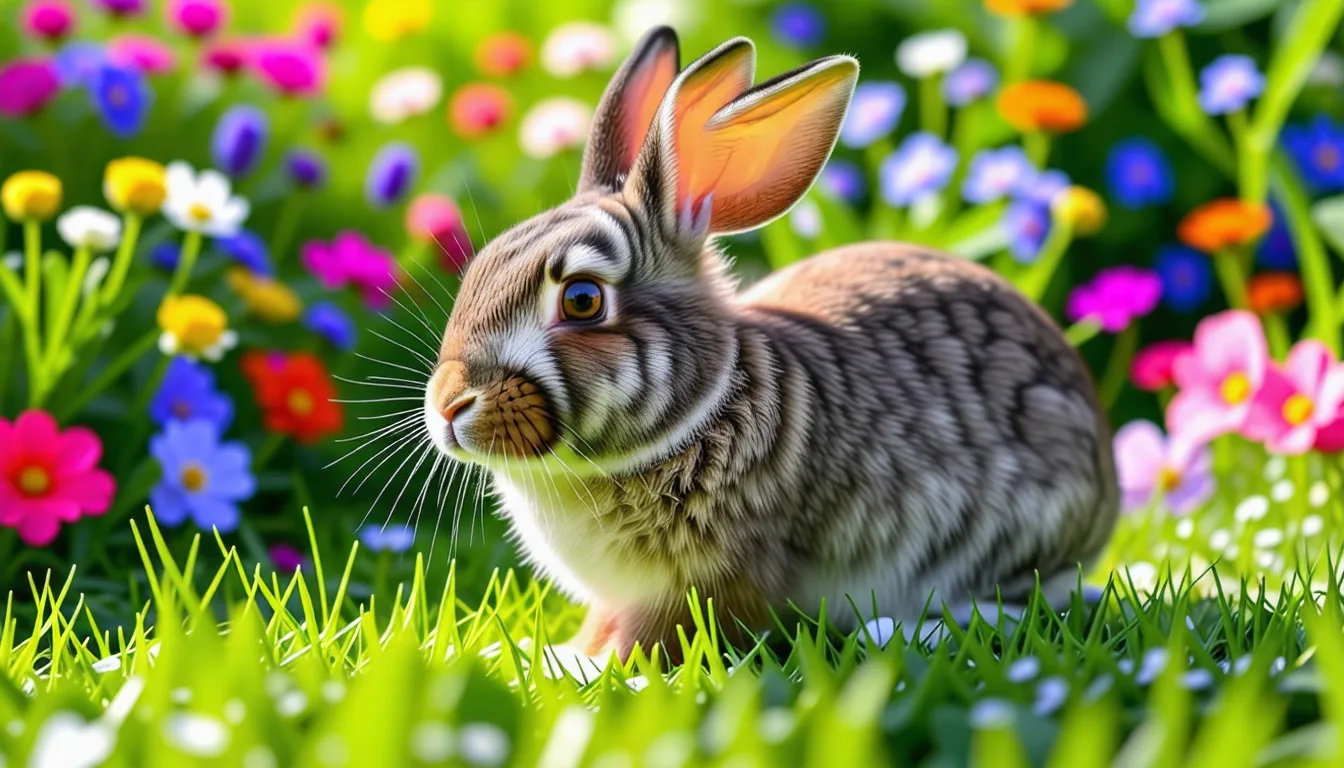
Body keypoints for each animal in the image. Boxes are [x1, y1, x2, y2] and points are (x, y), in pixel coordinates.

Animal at [422, 27, 1119, 662]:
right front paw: (549, 652)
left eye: (583, 300)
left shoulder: (716, 578)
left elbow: (653, 637)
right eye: (480, 266)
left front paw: (581, 667)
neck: (698, 414)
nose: (451, 404)